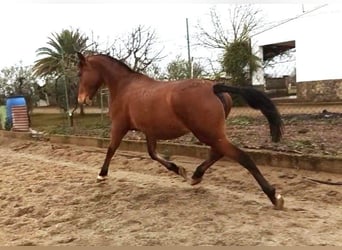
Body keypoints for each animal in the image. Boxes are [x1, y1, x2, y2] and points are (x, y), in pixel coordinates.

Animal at [77, 52, 286, 209]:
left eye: (80, 73)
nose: (81, 99)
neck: (124, 87)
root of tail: (214, 87)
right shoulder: (149, 132)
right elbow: (152, 154)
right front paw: (180, 170)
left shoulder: (120, 126)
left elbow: (111, 149)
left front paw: (101, 175)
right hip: (211, 134)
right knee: (218, 153)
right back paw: (195, 176)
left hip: (208, 133)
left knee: (242, 157)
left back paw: (274, 197)